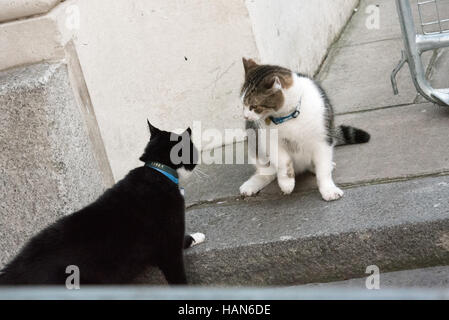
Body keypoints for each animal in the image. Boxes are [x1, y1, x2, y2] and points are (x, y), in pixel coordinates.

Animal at [0, 120, 205, 284]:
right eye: (193, 150)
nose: (198, 160)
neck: (158, 170)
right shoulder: (168, 246)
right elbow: (178, 266)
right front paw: (196, 237)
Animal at [238, 58, 368, 201]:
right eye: (243, 105)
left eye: (254, 106)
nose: (245, 116)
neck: (288, 117)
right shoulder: (269, 140)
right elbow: (283, 161)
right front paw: (287, 183)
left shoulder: (323, 139)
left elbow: (323, 169)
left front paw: (328, 189)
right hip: (254, 141)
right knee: (268, 172)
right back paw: (254, 182)